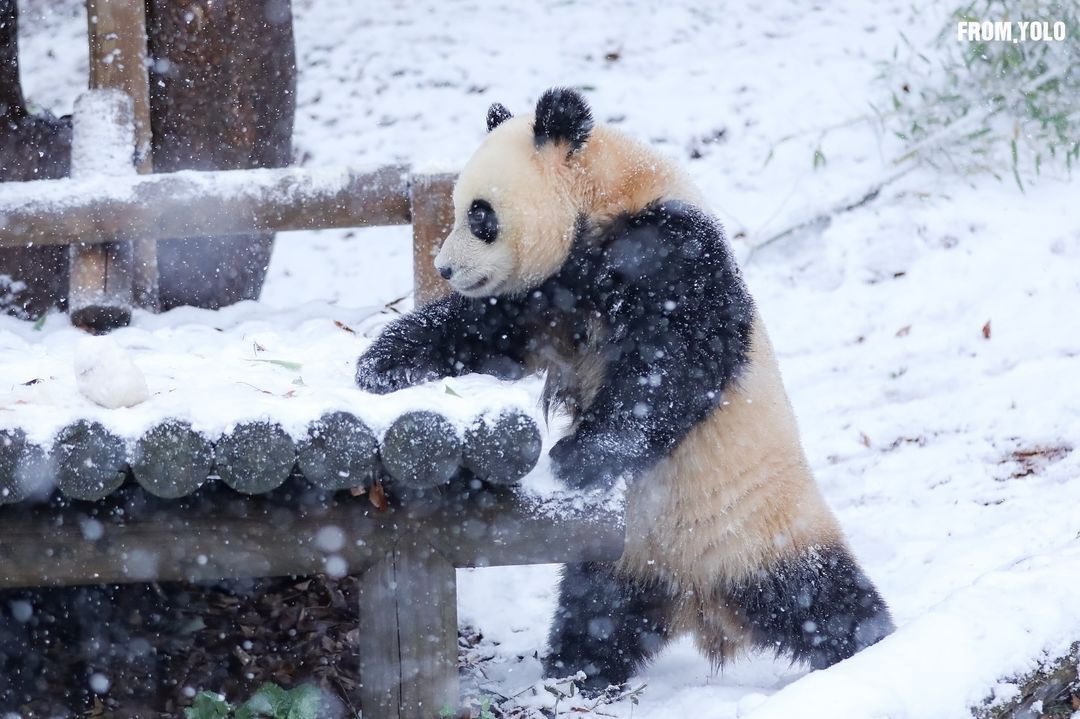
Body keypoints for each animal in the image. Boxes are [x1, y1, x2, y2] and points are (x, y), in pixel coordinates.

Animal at [356, 86, 894, 686]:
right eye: (455, 211)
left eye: (480, 216)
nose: (447, 269)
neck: (607, 196)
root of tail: (699, 596)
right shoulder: (554, 293)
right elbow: (489, 332)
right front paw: (383, 362)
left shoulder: (670, 250)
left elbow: (674, 361)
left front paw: (577, 455)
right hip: (622, 554)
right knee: (597, 611)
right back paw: (575, 669)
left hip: (764, 527)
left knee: (824, 601)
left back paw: (871, 646)